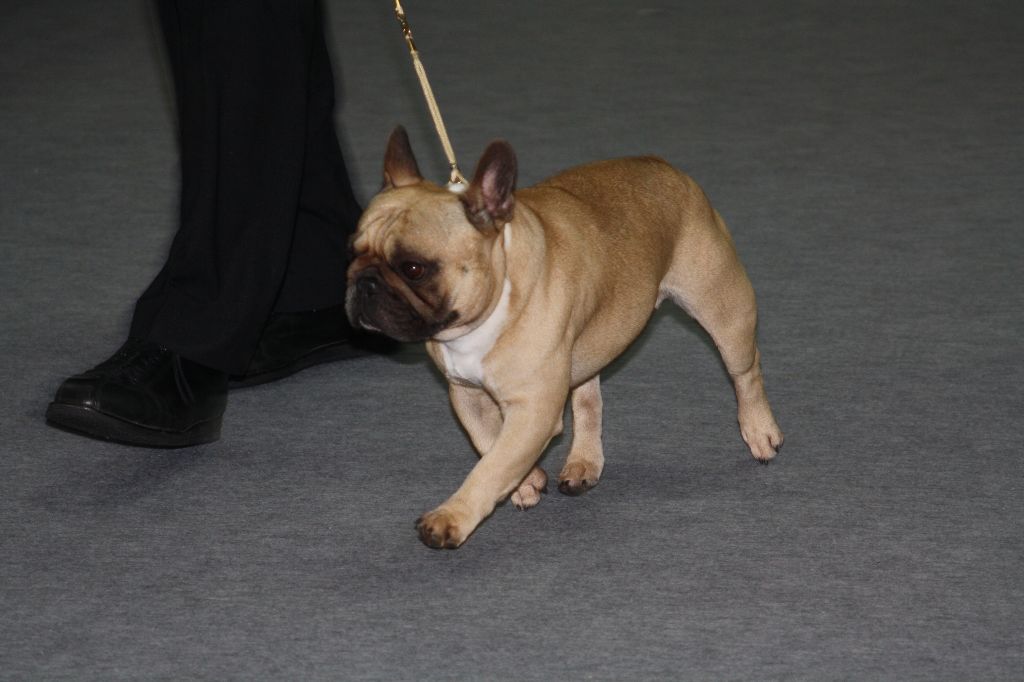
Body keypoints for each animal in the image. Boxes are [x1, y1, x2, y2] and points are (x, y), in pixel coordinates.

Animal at [346, 127, 783, 548]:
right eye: (352, 252)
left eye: (414, 268)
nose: (364, 283)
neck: (489, 308)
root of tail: (662, 165)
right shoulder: (466, 394)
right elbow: (489, 442)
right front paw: (526, 482)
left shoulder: (534, 408)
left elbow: (491, 465)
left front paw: (452, 517)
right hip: (587, 343)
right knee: (589, 399)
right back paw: (584, 462)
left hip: (722, 309)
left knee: (746, 371)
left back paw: (759, 430)